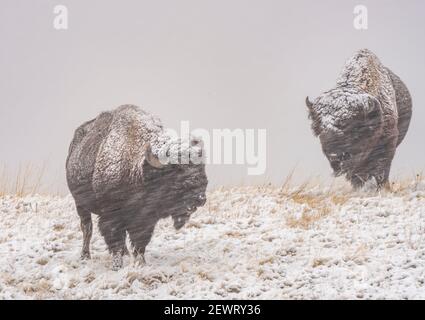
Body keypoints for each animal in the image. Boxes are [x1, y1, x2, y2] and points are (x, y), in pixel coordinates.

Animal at [65, 105, 209, 270]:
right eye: (177, 170)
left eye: (201, 168)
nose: (200, 198)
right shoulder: (111, 216)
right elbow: (115, 241)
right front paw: (117, 266)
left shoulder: (146, 218)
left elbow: (140, 242)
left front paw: (141, 263)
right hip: (80, 205)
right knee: (87, 228)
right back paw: (85, 256)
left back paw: (126, 254)